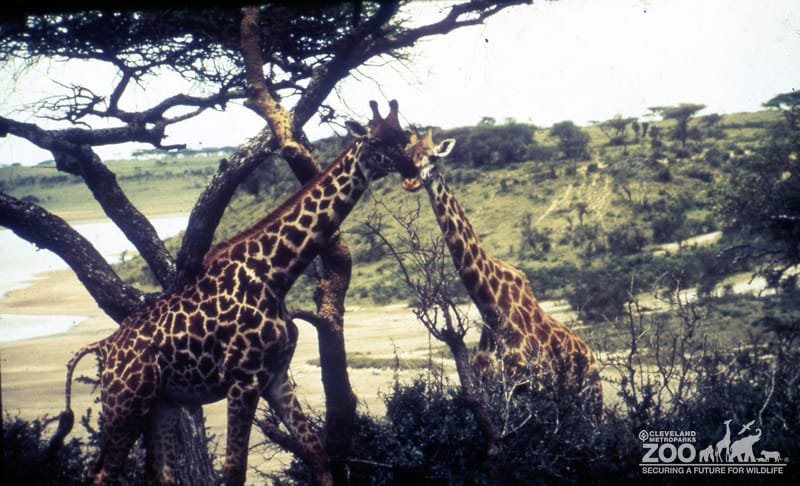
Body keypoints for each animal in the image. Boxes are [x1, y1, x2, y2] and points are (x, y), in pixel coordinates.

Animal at [54, 100, 417, 486]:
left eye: (402, 136)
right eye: (376, 142)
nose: (411, 169)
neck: (277, 275)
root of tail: (105, 347)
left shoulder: (275, 377)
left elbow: (317, 453)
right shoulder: (243, 380)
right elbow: (234, 469)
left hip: (160, 403)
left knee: (159, 472)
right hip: (126, 403)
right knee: (102, 473)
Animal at [402, 127, 602, 416]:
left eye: (432, 156)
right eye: (407, 155)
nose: (410, 181)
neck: (490, 306)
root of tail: (591, 356)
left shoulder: (526, 388)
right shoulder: (489, 387)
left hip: (590, 398)